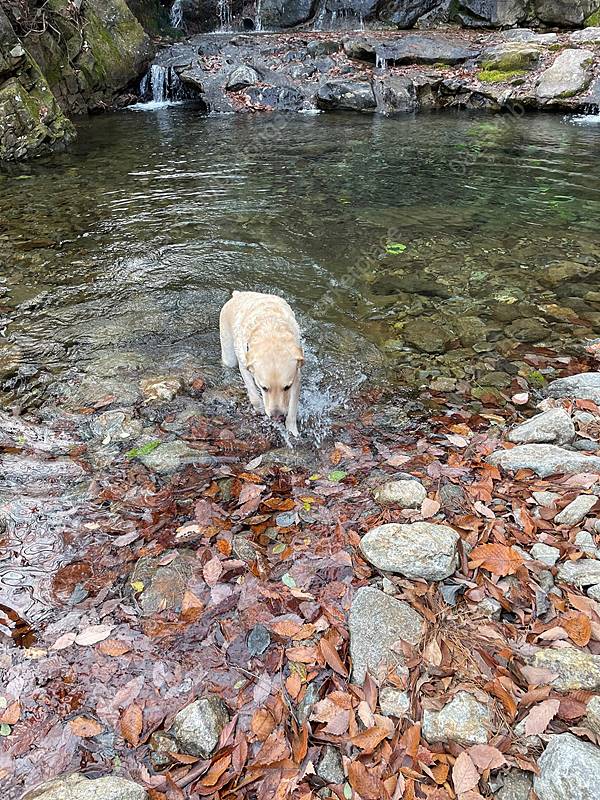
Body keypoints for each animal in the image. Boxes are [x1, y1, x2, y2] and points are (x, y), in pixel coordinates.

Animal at [220, 290, 304, 434]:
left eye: (287, 387)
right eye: (264, 388)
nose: (277, 417)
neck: (271, 332)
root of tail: (239, 294)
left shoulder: (296, 376)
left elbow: (292, 407)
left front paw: (292, 431)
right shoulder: (245, 365)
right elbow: (253, 393)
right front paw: (259, 408)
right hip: (228, 352)